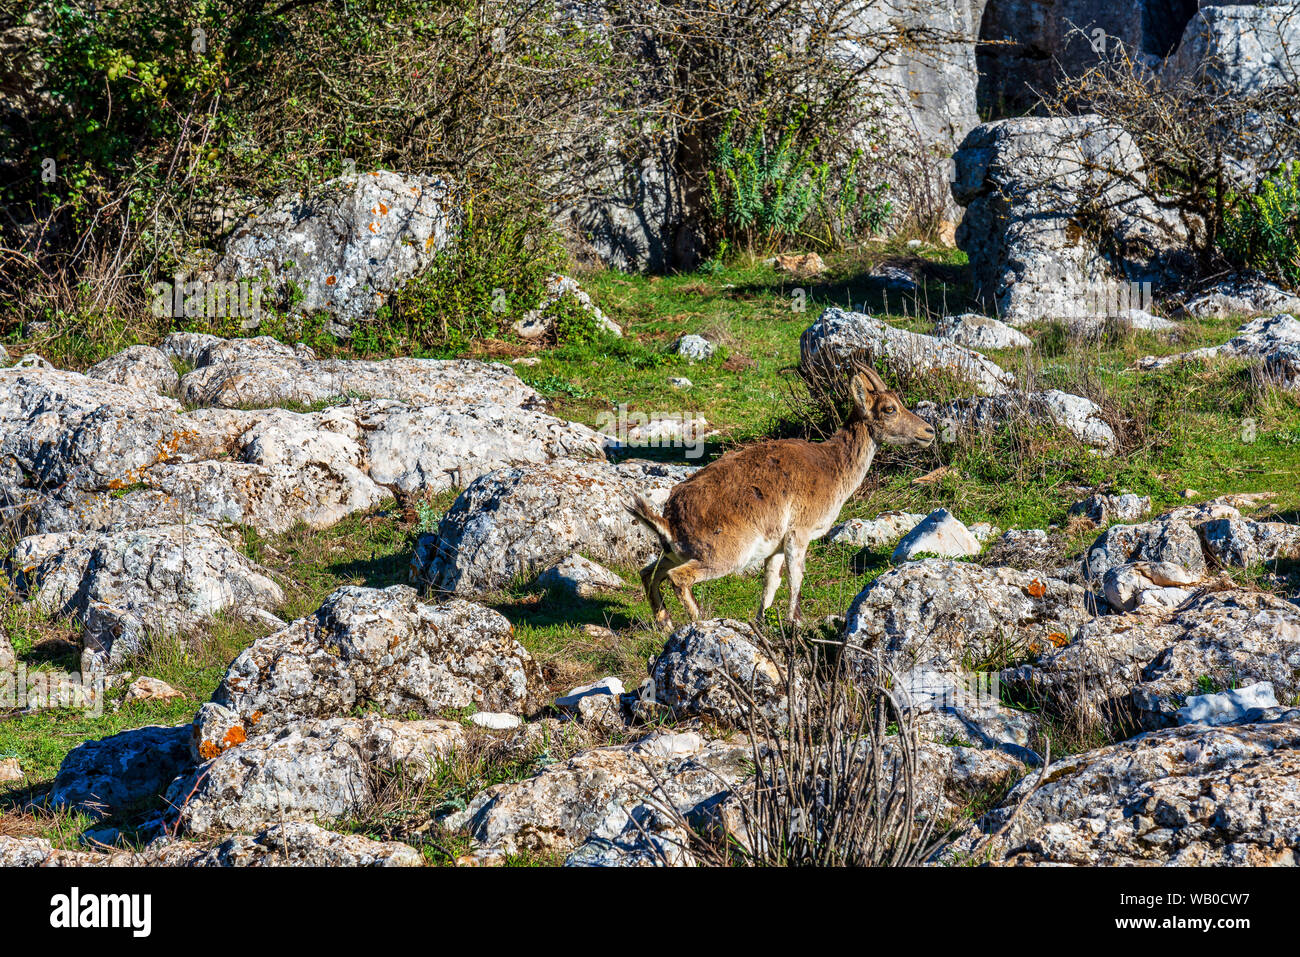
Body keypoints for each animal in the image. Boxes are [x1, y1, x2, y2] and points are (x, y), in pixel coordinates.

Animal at [628, 368, 935, 627]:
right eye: (889, 408)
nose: (928, 431)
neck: (832, 465)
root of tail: (670, 519)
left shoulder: (774, 546)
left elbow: (770, 582)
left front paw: (763, 620)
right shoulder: (800, 531)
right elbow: (795, 576)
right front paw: (795, 620)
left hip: (675, 553)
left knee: (648, 573)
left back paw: (665, 623)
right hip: (722, 554)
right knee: (678, 578)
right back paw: (698, 620)